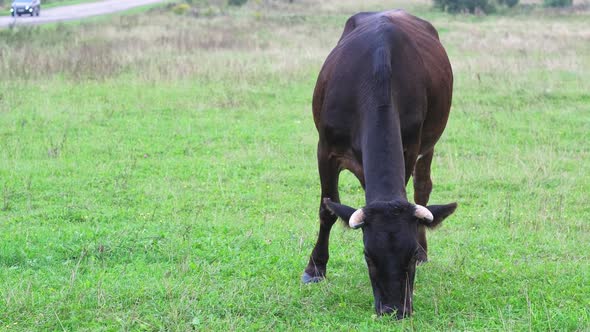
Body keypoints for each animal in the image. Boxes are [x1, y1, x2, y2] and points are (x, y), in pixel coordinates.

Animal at [302, 9, 460, 318]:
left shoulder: (410, 146)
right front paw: (315, 268)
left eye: (410, 254)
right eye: (367, 255)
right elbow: (327, 209)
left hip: (430, 143)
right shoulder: (325, 149)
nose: (394, 309)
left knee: (423, 186)